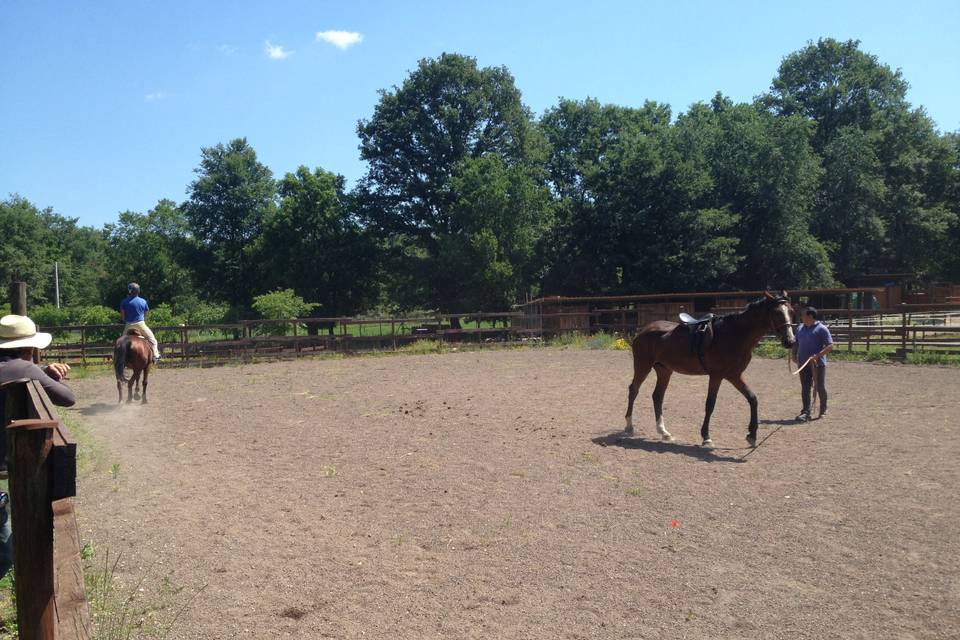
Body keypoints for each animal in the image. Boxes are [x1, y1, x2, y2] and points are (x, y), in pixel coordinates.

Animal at [624, 292, 796, 448]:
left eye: (791, 311)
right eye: (776, 313)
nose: (790, 341)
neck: (734, 334)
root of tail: (644, 331)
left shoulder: (734, 375)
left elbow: (752, 399)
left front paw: (752, 435)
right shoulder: (716, 376)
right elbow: (710, 404)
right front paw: (706, 437)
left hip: (664, 370)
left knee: (657, 396)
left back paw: (663, 432)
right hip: (643, 366)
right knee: (634, 390)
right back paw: (629, 426)